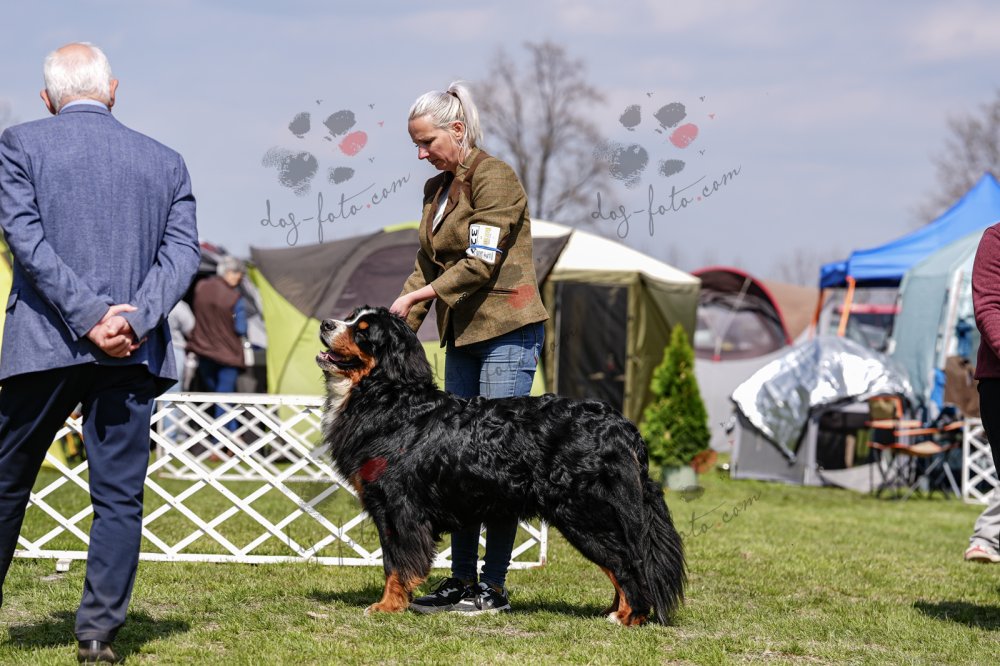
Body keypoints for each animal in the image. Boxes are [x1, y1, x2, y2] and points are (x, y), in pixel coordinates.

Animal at [316, 306, 685, 626]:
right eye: (351, 317)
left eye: (363, 332)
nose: (326, 323)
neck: (389, 397)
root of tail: (623, 426)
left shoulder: (398, 508)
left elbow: (395, 564)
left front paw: (387, 606)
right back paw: (614, 611)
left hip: (586, 515)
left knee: (629, 563)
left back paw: (629, 616)